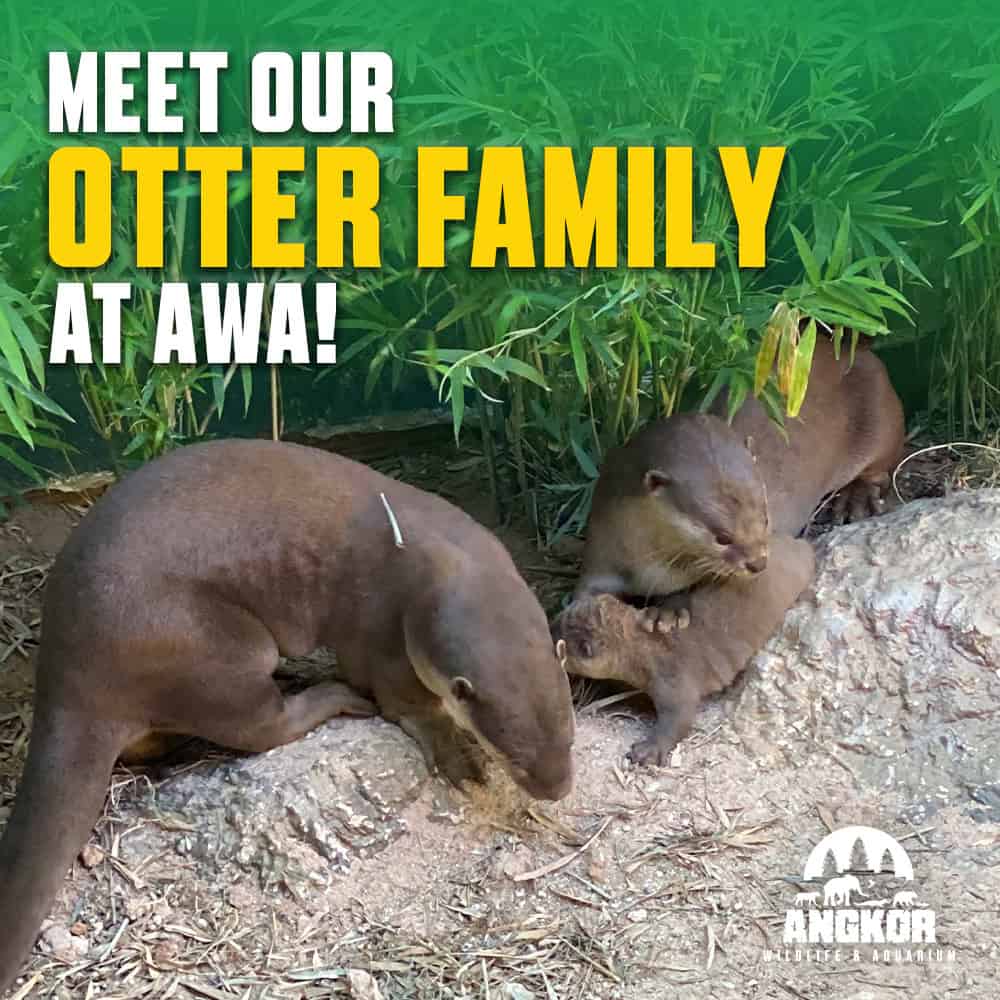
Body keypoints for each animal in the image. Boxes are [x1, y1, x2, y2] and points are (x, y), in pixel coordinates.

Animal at [0, 439, 575, 996]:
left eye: (568, 738)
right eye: (512, 754)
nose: (557, 788)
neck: (436, 557)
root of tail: (70, 675)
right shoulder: (378, 624)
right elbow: (403, 701)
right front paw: (457, 752)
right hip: (209, 644)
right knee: (257, 724)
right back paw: (329, 695)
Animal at [555, 535, 815, 765]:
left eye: (558, 638)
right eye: (557, 619)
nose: (550, 625)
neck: (644, 647)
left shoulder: (673, 678)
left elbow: (680, 717)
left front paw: (649, 751)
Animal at [576, 335, 903, 603]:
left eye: (766, 519)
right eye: (722, 537)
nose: (758, 563)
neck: (651, 568)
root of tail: (852, 348)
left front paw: (668, 611)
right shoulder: (602, 545)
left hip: (881, 415)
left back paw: (855, 499)